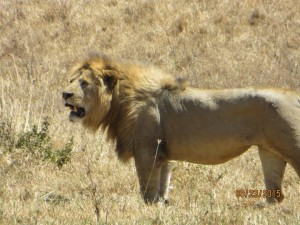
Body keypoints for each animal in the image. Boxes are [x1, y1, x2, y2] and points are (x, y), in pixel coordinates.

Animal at [61, 54, 300, 204]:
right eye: (71, 80)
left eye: (84, 83)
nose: (65, 93)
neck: (120, 99)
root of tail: (294, 94)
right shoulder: (163, 154)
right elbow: (162, 184)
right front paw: (162, 205)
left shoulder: (147, 150)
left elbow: (147, 187)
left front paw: (147, 208)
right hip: (269, 151)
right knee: (276, 194)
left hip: (292, 145)